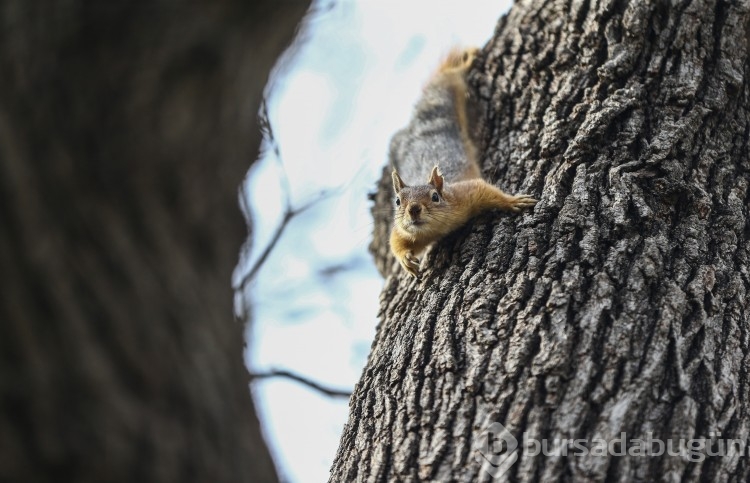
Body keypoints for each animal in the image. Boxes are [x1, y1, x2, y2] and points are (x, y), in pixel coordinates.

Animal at [390, 48, 536, 280]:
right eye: (397, 201)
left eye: (435, 196)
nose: (413, 209)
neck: (437, 229)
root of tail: (417, 121)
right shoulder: (407, 231)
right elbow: (395, 240)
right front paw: (405, 259)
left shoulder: (464, 193)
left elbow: (486, 190)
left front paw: (512, 201)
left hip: (444, 92)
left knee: (448, 75)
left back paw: (465, 60)